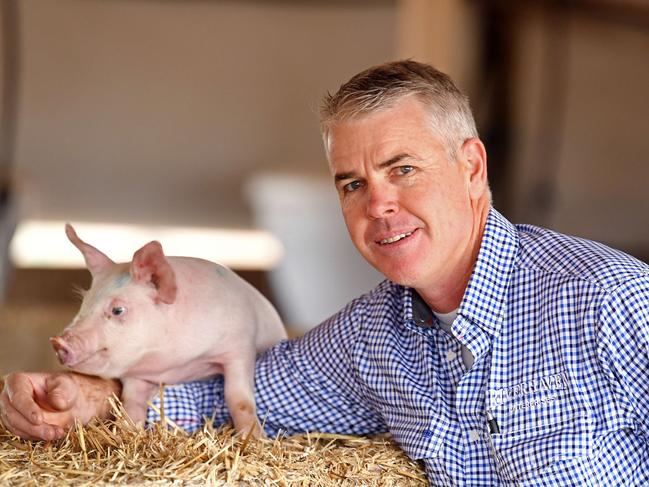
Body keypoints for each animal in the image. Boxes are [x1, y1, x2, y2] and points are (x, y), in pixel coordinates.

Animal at [50, 223, 284, 436]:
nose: (58, 341)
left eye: (118, 310)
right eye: (84, 302)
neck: (176, 364)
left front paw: (254, 438)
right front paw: (126, 433)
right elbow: (131, 404)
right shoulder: (136, 376)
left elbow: (238, 398)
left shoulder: (240, 346)